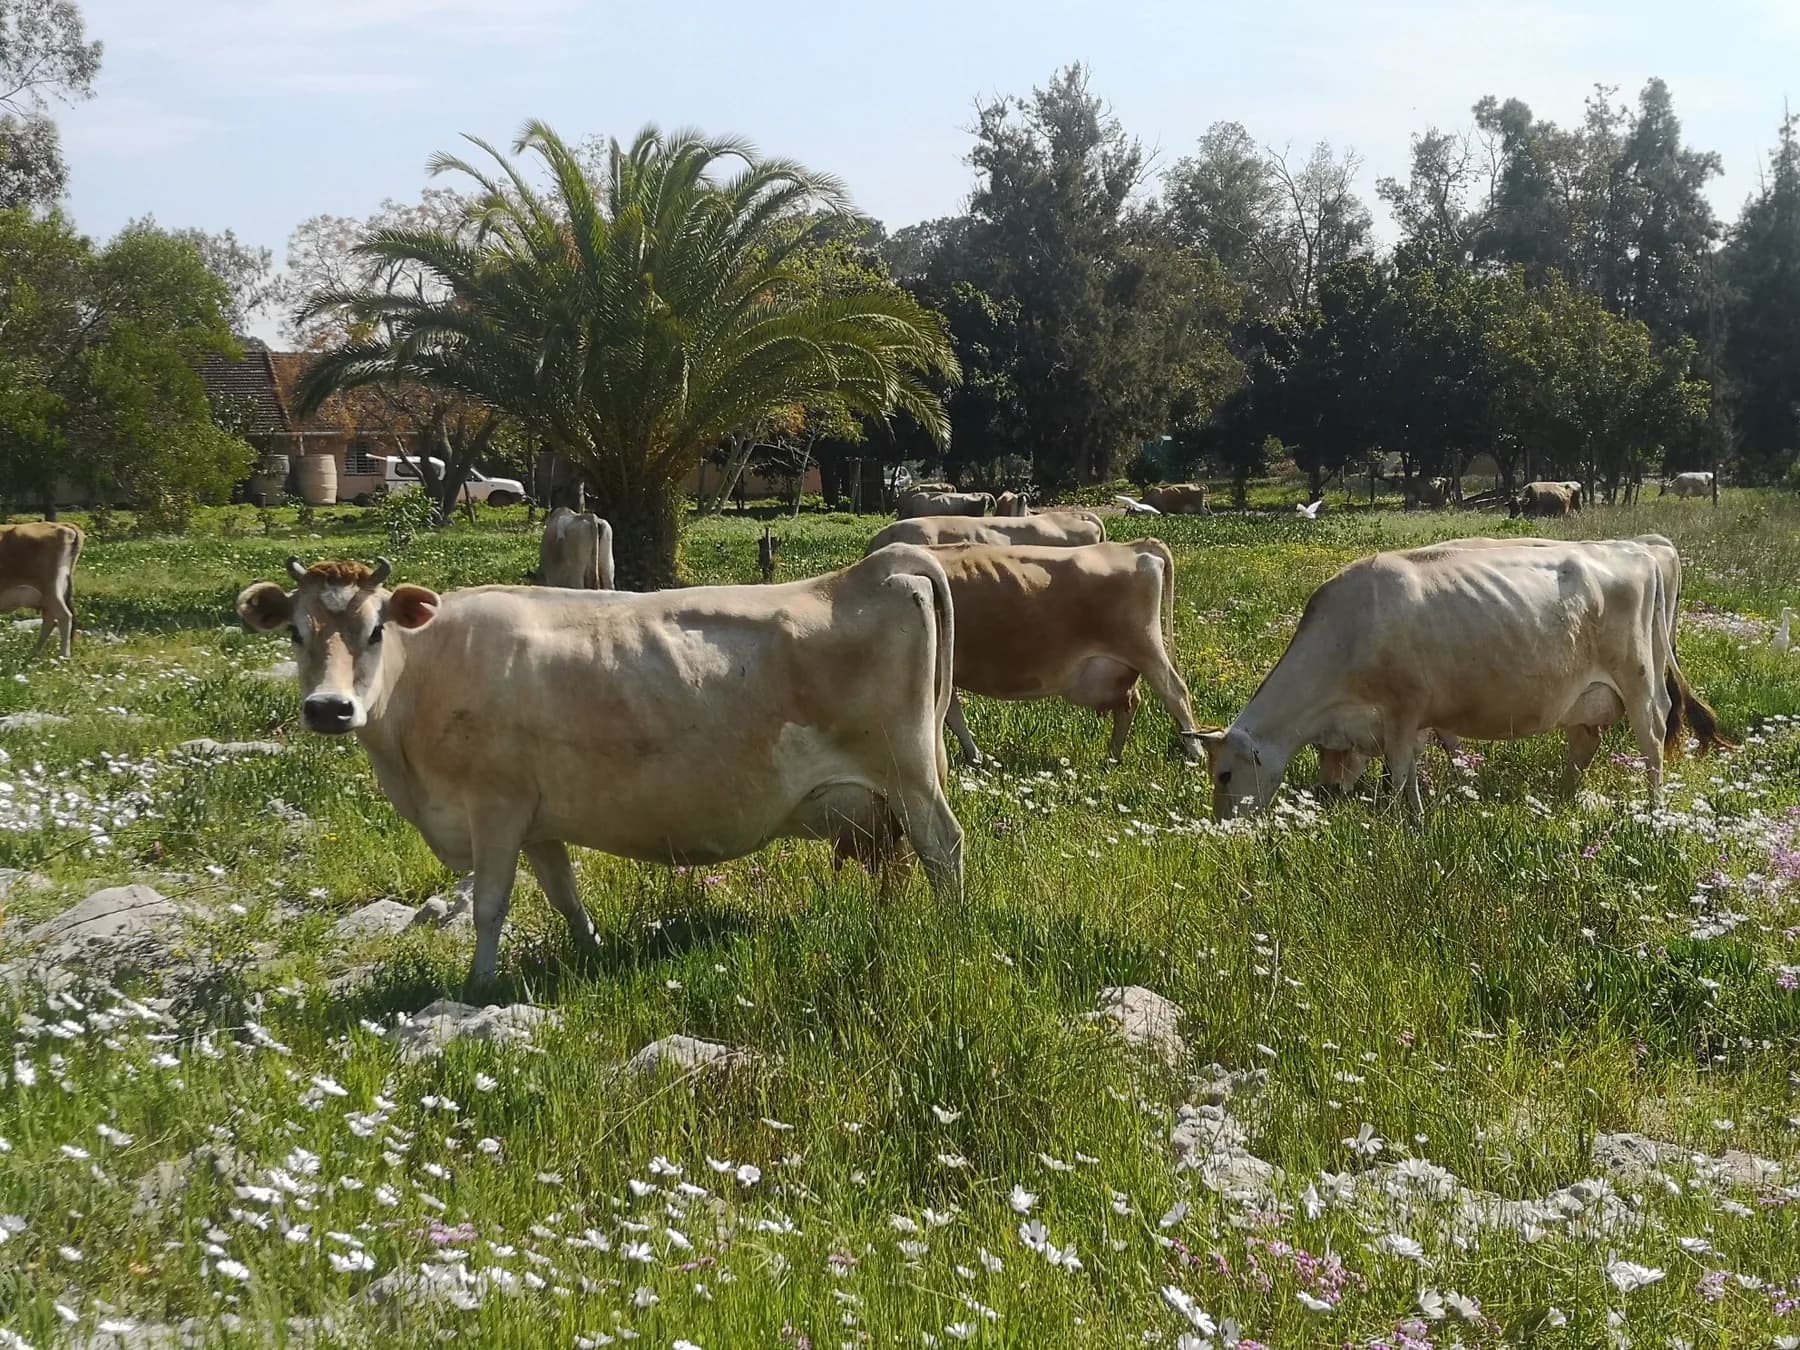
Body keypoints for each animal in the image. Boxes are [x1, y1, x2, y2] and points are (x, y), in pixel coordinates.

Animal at [0, 522, 82, 661]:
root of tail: (62, 525)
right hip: (51, 594)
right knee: (50, 619)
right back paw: (35, 652)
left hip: (52, 589)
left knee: (64, 616)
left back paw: (63, 656)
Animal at [236, 551, 964, 992]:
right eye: (296, 632)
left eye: (376, 630)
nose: (329, 708)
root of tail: (873, 568)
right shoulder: (536, 821)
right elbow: (565, 897)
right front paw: (592, 956)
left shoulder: (494, 807)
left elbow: (490, 906)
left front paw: (477, 988)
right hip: (882, 797)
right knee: (897, 857)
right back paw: (885, 920)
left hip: (909, 774)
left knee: (941, 845)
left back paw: (948, 927)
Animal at [923, 540, 1203, 765]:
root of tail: (1133, 546)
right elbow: (953, 716)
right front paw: (975, 758)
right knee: (1131, 702)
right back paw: (1112, 757)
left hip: (1144, 647)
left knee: (1175, 693)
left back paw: (1196, 753)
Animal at [1198, 538, 1727, 820]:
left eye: (1225, 774)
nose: (1224, 828)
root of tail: (1640, 549)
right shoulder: (1378, 727)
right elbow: (1399, 767)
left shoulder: (1403, 710)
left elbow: (1401, 772)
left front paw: (1407, 820)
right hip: (1588, 697)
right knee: (1584, 743)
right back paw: (1561, 800)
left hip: (1638, 680)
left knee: (1652, 740)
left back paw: (1654, 811)